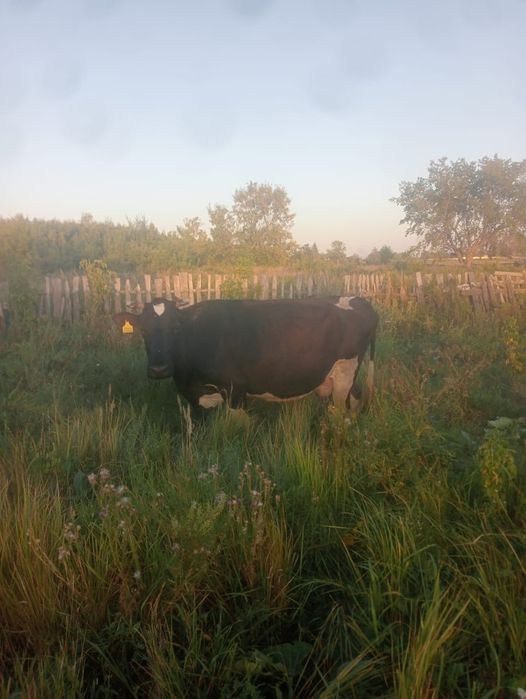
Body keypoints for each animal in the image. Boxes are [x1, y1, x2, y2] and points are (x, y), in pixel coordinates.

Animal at [113, 296, 378, 414]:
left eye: (175, 329)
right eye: (144, 331)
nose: (159, 369)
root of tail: (357, 299)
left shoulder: (235, 390)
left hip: (345, 373)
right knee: (354, 399)